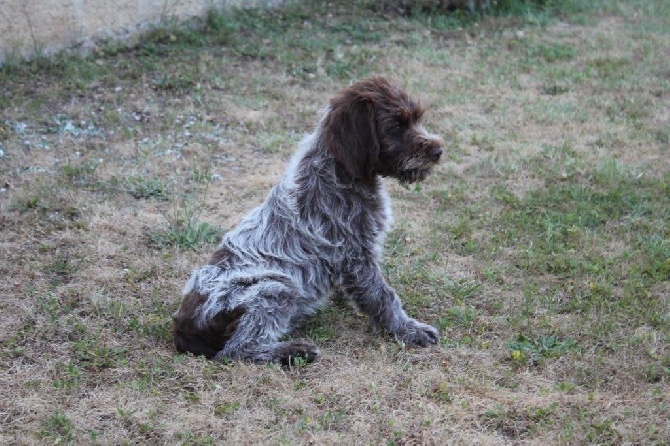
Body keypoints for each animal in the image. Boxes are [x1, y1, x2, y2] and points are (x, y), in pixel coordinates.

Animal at [173, 76, 446, 362]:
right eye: (395, 126)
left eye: (416, 119)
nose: (438, 150)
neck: (341, 171)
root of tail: (183, 326)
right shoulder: (356, 256)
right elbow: (383, 296)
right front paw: (408, 329)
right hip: (274, 288)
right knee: (236, 350)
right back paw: (295, 352)